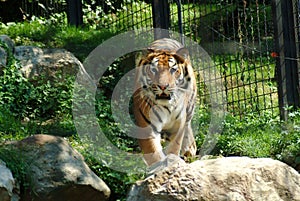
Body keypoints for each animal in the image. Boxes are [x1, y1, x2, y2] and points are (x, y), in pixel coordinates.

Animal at [133, 38, 197, 166]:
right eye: (154, 69)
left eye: (173, 70)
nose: (163, 86)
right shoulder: (147, 127)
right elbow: (153, 151)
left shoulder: (177, 126)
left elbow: (174, 148)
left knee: (188, 125)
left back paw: (189, 150)